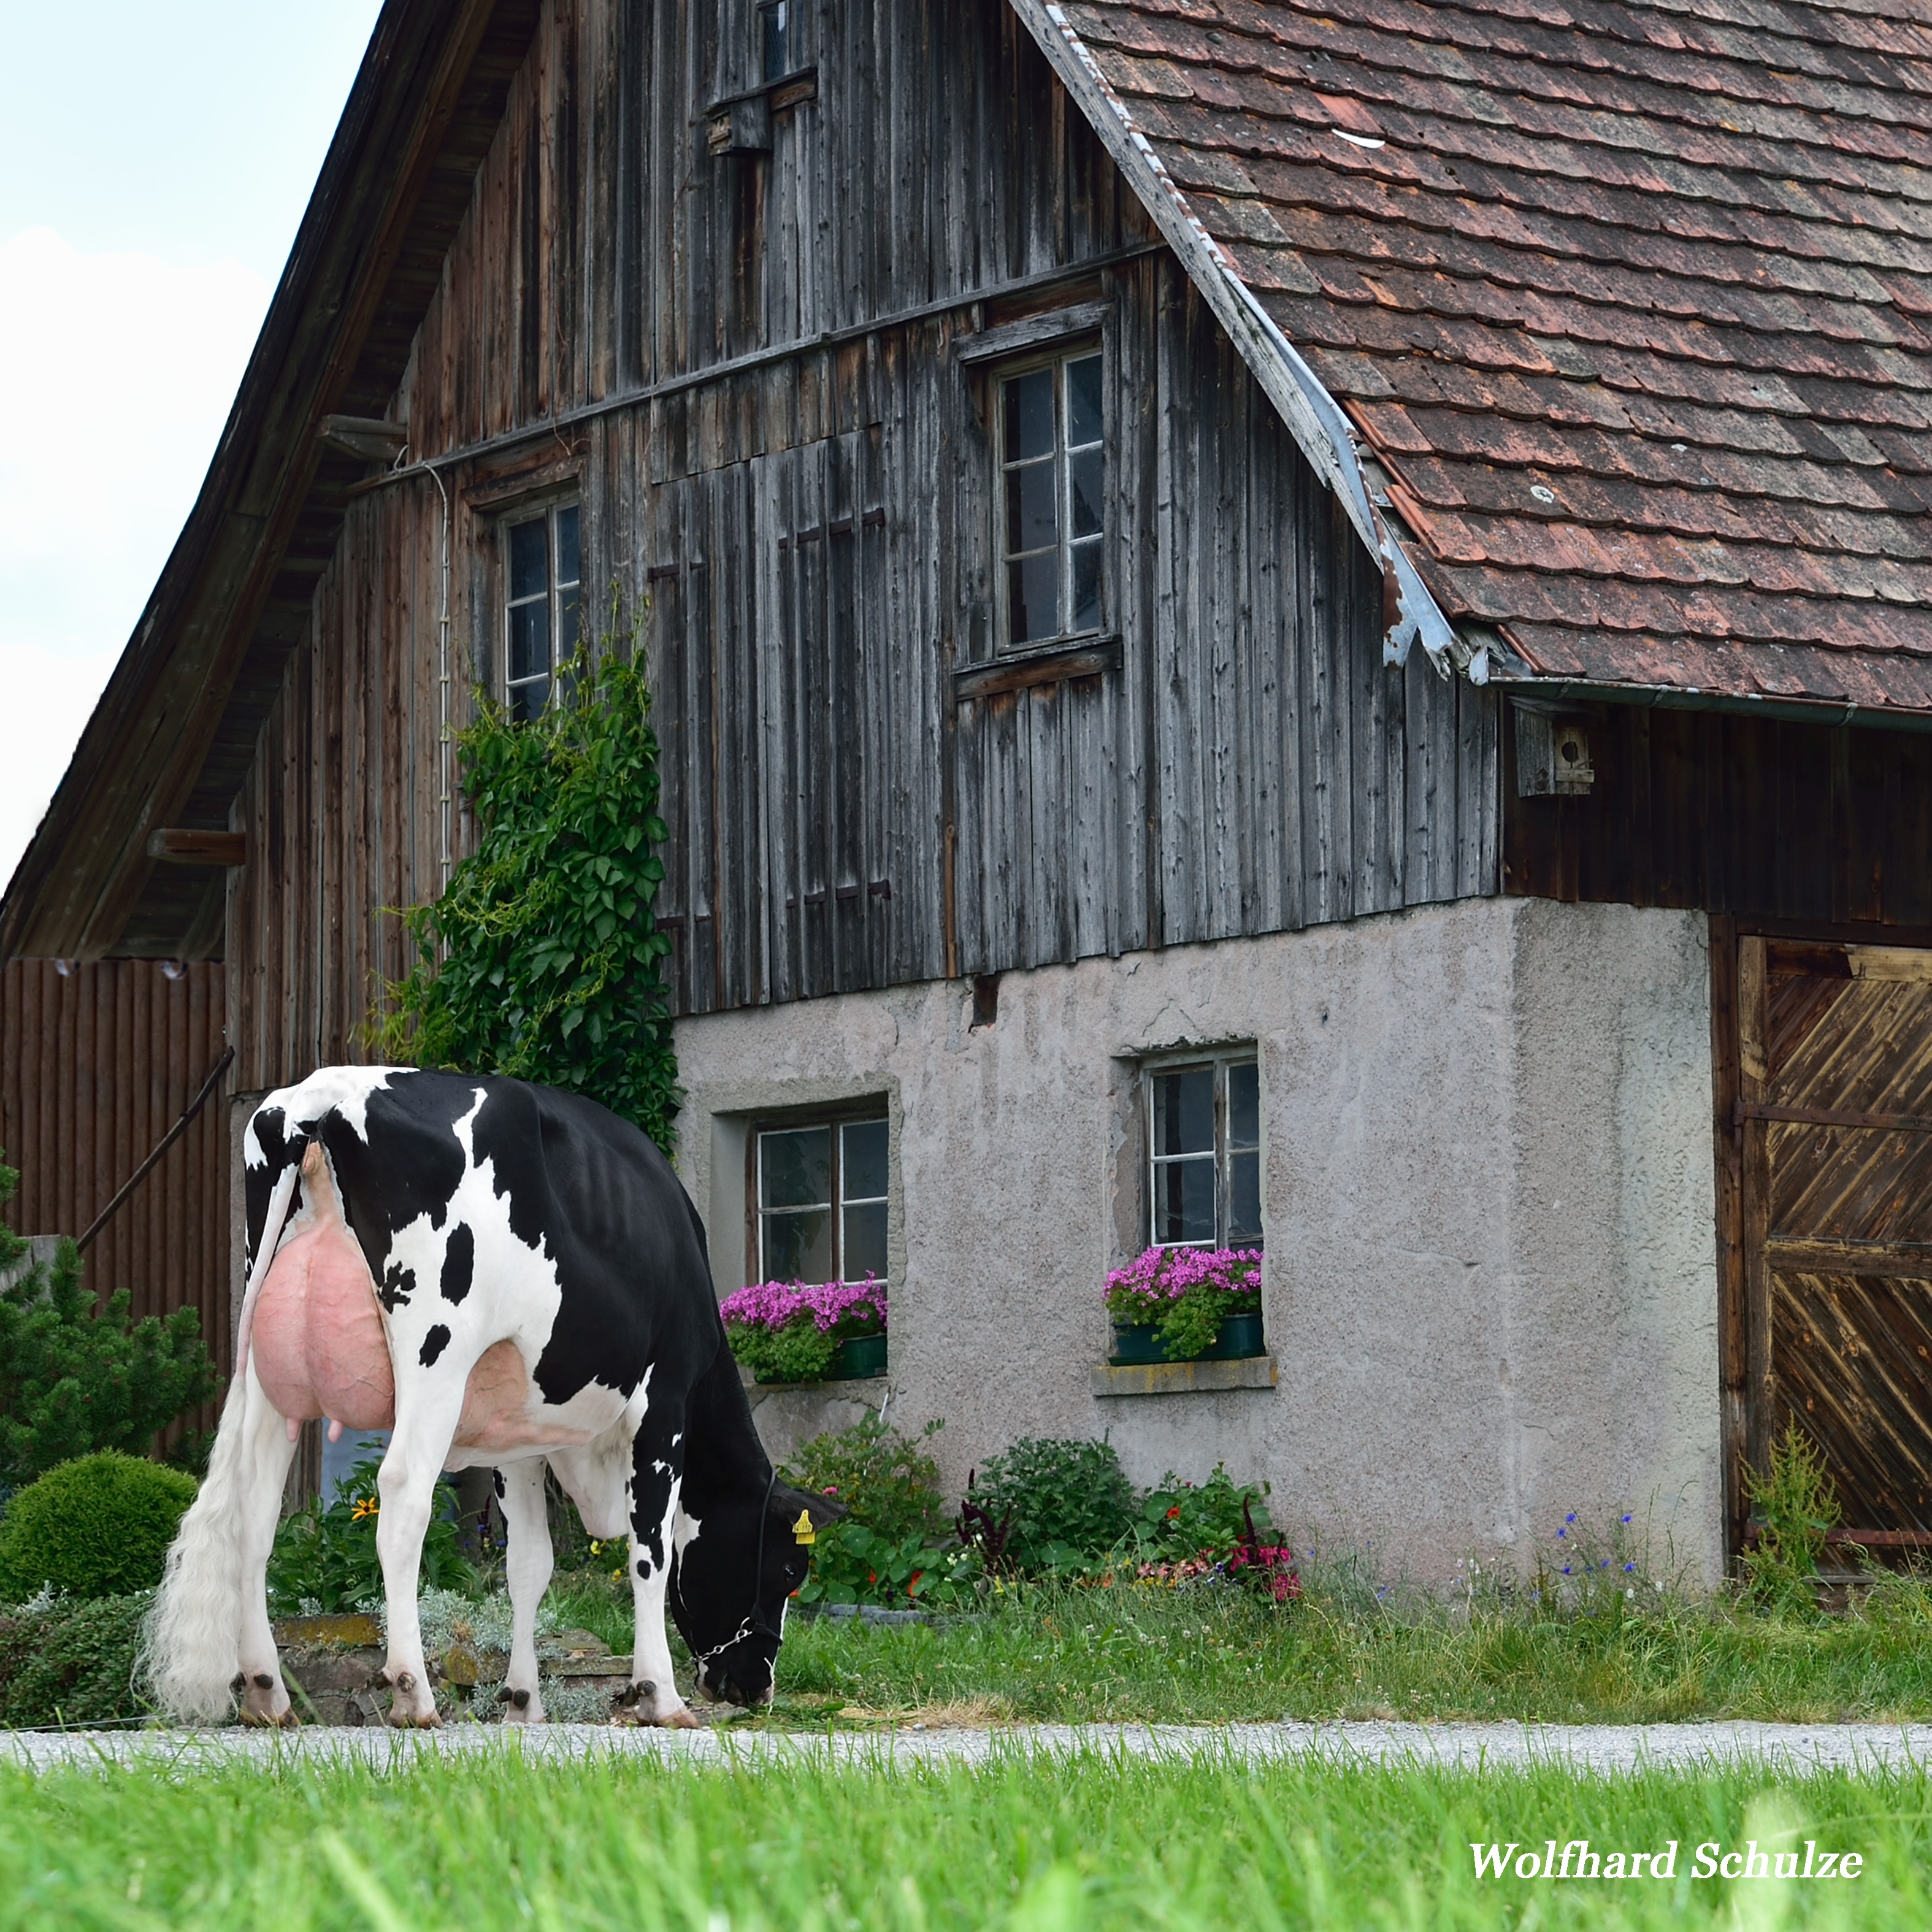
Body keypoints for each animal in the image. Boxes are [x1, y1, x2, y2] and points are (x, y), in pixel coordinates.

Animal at [143, 1066, 838, 1731]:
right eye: (788, 1571)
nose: (757, 1687)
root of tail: (321, 1094)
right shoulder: (662, 1405)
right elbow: (652, 1551)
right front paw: (659, 1697)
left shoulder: (520, 1438)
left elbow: (529, 1565)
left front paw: (523, 1702)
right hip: (436, 1351)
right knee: (402, 1495)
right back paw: (413, 1693)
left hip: (268, 1371)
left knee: (257, 1513)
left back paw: (267, 1691)